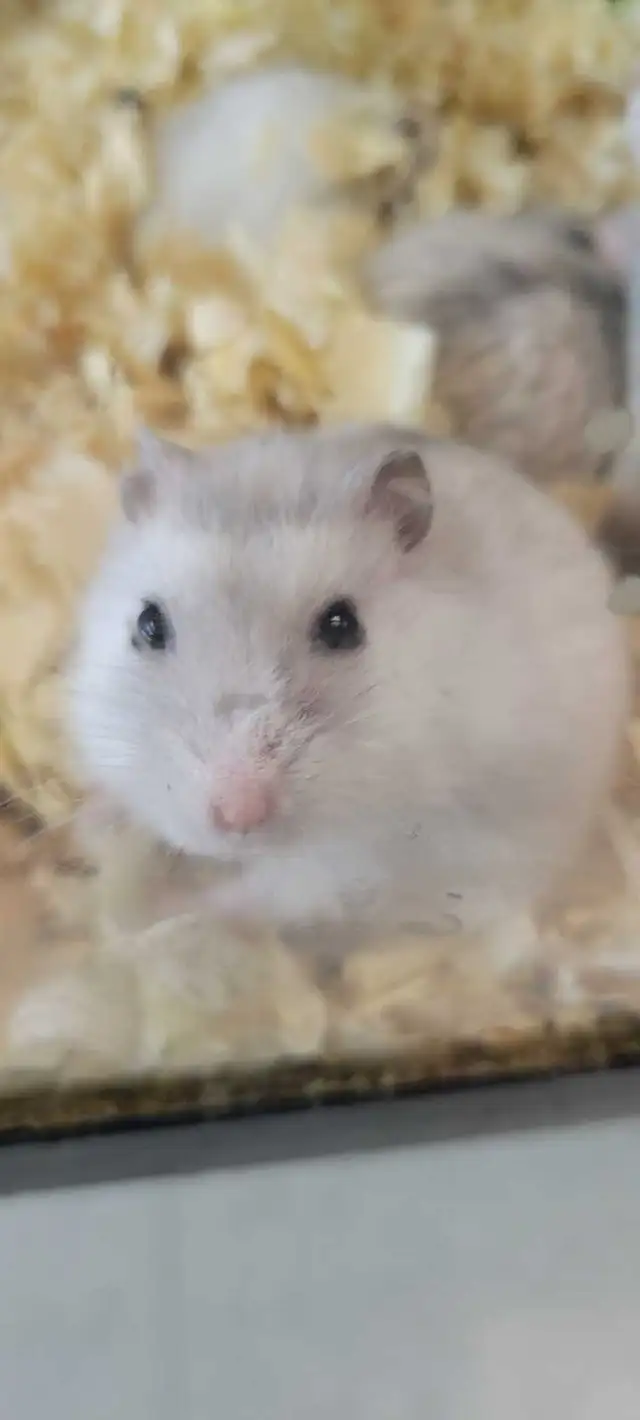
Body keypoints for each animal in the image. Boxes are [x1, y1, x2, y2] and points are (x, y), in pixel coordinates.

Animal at [67, 424, 628, 947]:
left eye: (342, 626)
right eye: (149, 624)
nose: (238, 815)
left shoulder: (360, 861)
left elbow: (255, 896)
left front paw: (152, 920)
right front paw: (95, 826)